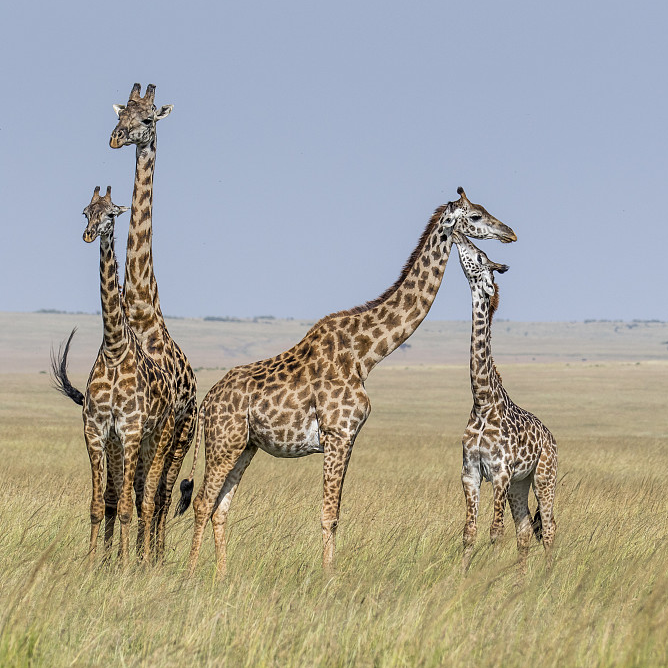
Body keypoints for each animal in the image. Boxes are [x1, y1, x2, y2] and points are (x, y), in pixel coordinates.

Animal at [52, 187, 175, 566]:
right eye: (85, 211)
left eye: (111, 214)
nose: (89, 234)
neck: (114, 348)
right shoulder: (96, 431)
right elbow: (97, 504)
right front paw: (93, 562)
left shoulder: (131, 431)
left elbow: (124, 507)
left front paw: (122, 566)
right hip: (124, 444)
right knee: (130, 497)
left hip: (158, 439)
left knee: (149, 500)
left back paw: (144, 560)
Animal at [184, 188, 517, 578]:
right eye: (476, 217)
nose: (510, 233)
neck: (365, 355)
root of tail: (207, 402)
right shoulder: (338, 433)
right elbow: (329, 515)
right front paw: (328, 578)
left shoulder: (347, 438)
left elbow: (335, 513)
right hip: (224, 440)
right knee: (202, 501)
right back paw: (191, 574)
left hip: (245, 445)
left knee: (221, 505)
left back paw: (221, 575)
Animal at [453, 232, 557, 574]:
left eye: (480, 256)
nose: (457, 234)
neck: (483, 400)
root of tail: (550, 436)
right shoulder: (470, 472)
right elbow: (470, 531)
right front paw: (462, 577)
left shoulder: (499, 471)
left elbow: (495, 532)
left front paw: (487, 575)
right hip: (519, 484)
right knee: (524, 530)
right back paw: (521, 580)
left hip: (543, 477)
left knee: (548, 527)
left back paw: (547, 578)